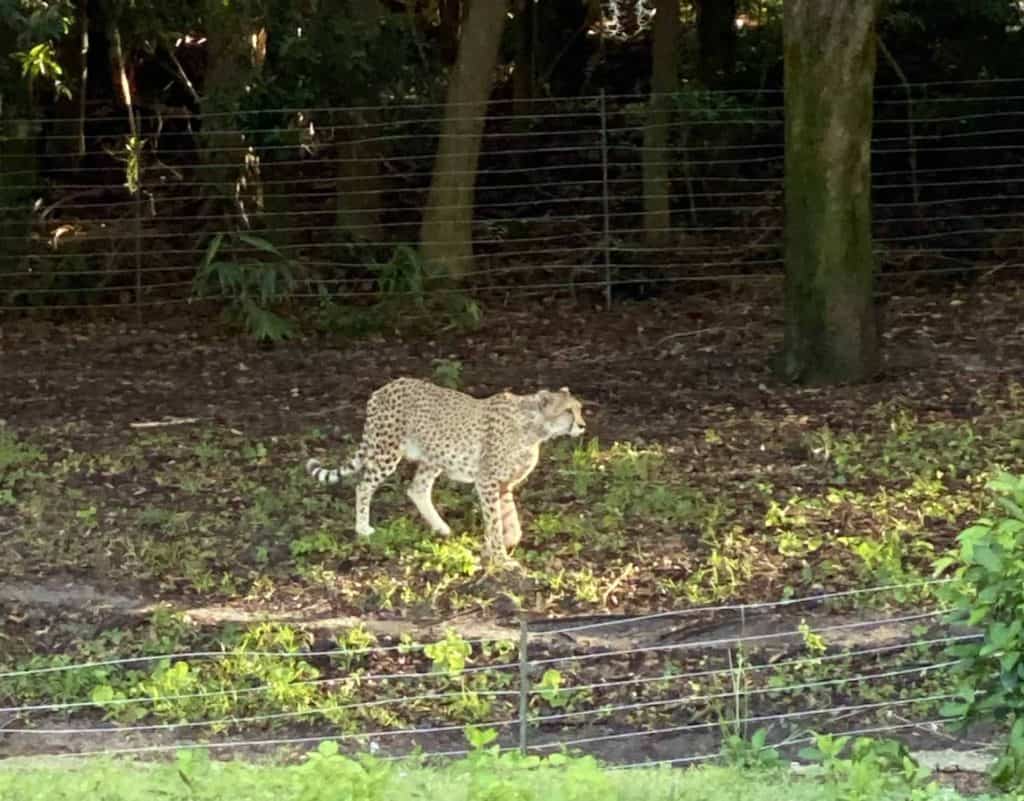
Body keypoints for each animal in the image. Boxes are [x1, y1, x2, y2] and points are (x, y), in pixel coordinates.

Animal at [305, 377, 586, 562]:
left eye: (579, 408)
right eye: (568, 411)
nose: (583, 425)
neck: (535, 427)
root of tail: (385, 387)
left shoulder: (504, 484)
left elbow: (510, 522)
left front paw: (500, 545)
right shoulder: (487, 481)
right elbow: (495, 521)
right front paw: (500, 558)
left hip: (433, 456)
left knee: (417, 489)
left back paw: (441, 528)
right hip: (387, 451)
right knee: (363, 486)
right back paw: (363, 528)